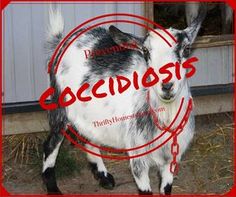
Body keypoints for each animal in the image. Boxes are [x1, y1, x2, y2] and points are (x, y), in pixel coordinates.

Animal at [42, 5, 206, 195]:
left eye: (186, 49)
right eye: (145, 51)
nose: (166, 85)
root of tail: (61, 41)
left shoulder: (171, 157)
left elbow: (166, 188)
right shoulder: (138, 157)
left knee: (90, 139)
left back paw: (104, 177)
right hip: (59, 105)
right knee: (50, 146)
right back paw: (53, 189)